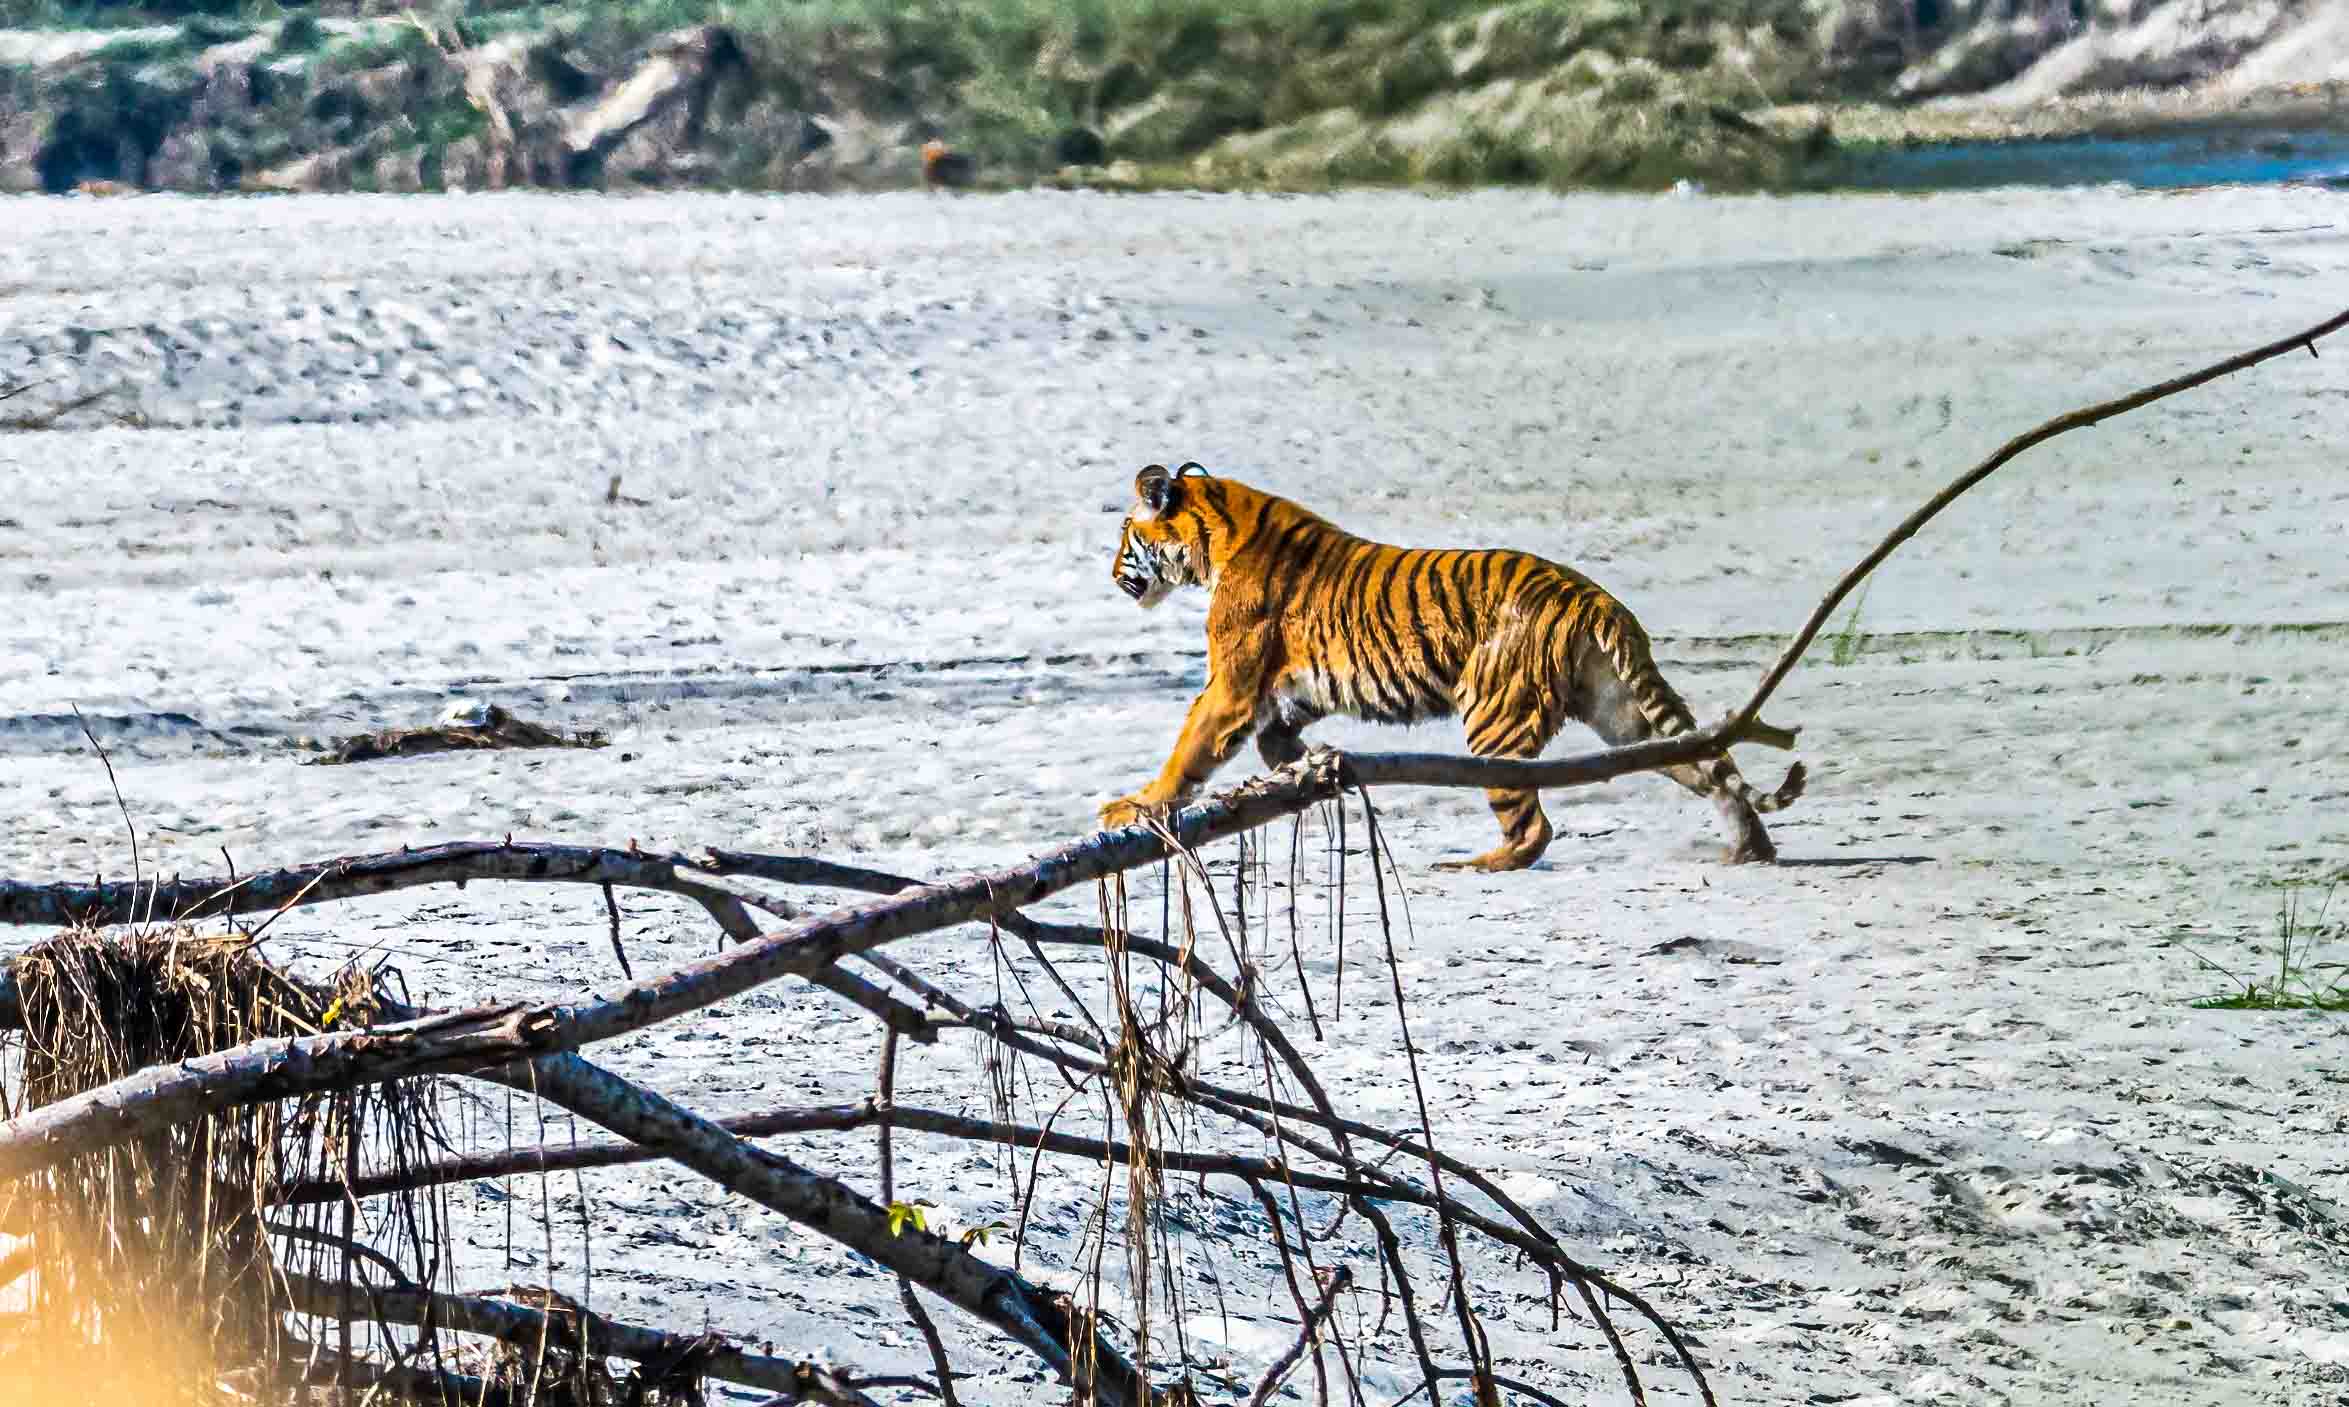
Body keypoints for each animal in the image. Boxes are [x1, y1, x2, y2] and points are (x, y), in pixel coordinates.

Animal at [1098, 462, 1806, 871]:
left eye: (1125, 537)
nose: (1109, 573)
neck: (1217, 531)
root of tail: (1593, 596)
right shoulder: (1291, 695)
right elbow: (1278, 745)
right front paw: (1310, 774)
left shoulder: (1234, 685)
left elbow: (1188, 749)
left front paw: (1134, 807)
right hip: (1622, 713)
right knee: (1702, 762)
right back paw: (1751, 847)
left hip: (1493, 713)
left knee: (1534, 827)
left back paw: (1477, 864)